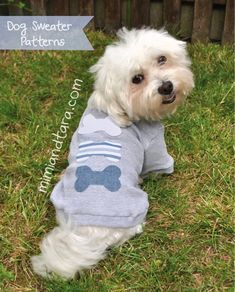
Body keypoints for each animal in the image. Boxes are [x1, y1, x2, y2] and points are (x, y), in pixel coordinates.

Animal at [30, 28, 193, 280]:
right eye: (137, 79)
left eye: (162, 59)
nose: (166, 86)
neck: (114, 110)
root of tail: (86, 235)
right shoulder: (153, 144)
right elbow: (158, 165)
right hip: (136, 207)